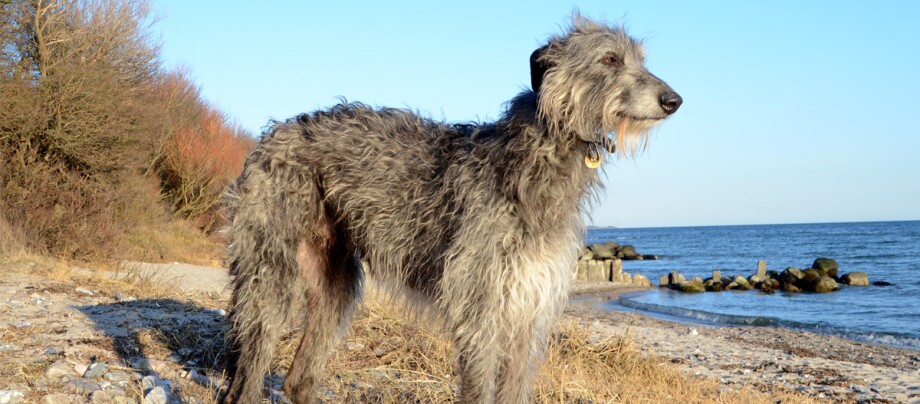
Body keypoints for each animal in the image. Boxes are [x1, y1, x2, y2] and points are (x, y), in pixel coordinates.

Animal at [223, 15, 684, 404]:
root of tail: (269, 137)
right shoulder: (481, 307)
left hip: (334, 282)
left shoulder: (526, 308)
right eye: (609, 59)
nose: (674, 100)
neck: (534, 158)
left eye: (641, 59)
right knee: (248, 374)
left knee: (298, 378)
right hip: (271, 271)